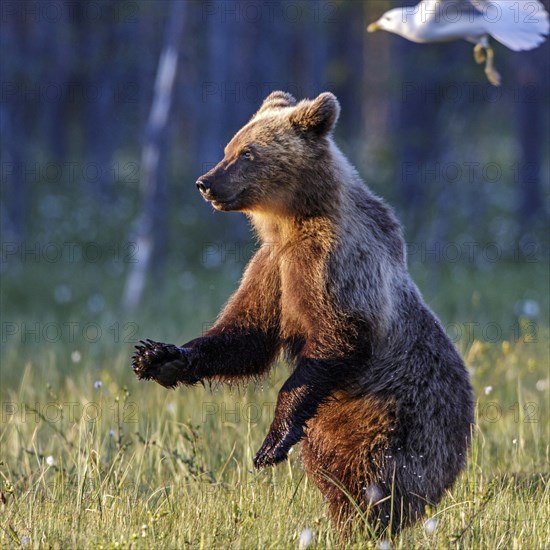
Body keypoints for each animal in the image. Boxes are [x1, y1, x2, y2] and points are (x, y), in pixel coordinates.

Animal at [133, 90, 474, 536]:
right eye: (229, 148)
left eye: (247, 153)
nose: (205, 182)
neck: (292, 222)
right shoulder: (272, 267)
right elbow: (247, 335)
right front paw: (160, 357)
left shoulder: (332, 266)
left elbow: (336, 337)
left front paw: (271, 443)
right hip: (334, 427)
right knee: (337, 474)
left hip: (396, 424)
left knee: (373, 481)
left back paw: (360, 525)